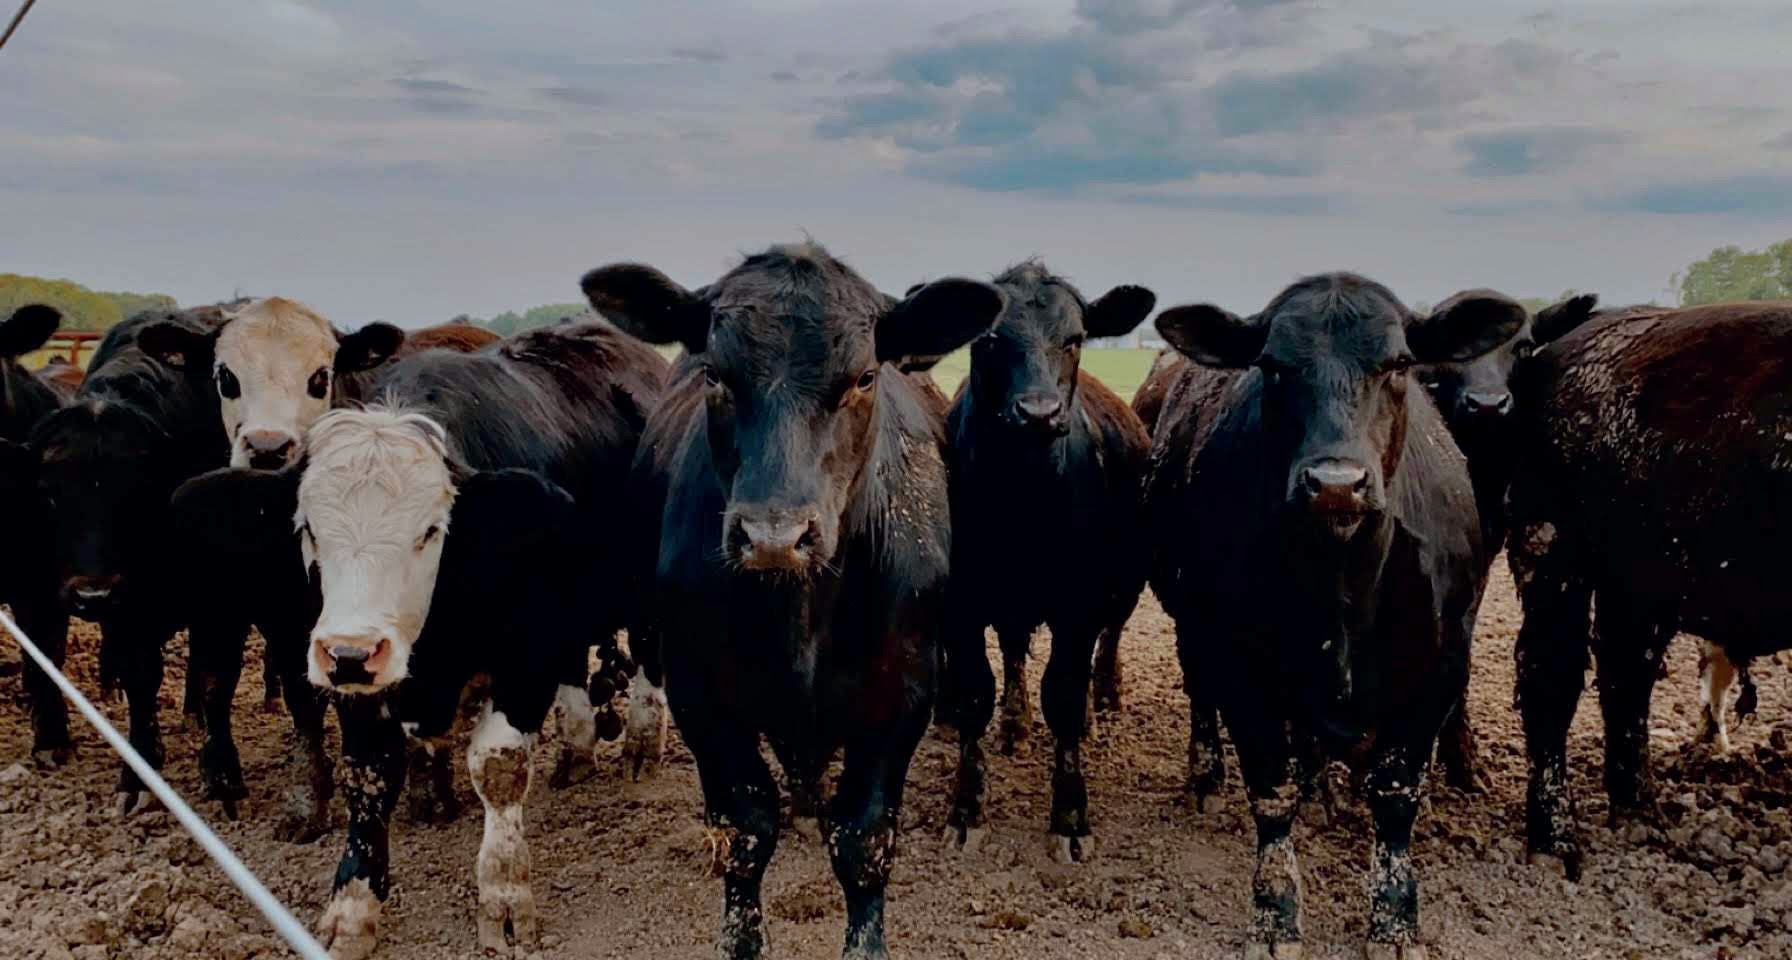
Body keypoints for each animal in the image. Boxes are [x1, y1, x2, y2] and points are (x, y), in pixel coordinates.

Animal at [173, 321, 666, 957]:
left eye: (431, 530)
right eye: (308, 528)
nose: (350, 652)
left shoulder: (525, 652)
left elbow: (499, 767)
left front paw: (504, 897)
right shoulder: (361, 684)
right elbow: (369, 774)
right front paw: (353, 906)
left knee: (650, 658)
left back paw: (641, 745)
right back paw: (577, 750)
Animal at [581, 242, 1002, 960]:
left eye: (864, 377)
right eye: (716, 376)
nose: (773, 535)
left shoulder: (903, 694)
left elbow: (863, 840)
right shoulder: (700, 695)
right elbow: (746, 831)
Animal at [939, 261, 1154, 863]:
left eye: (1075, 338)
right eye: (988, 339)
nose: (1038, 412)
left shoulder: (1078, 607)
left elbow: (1064, 695)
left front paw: (1070, 817)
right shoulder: (961, 605)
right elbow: (975, 693)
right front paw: (966, 809)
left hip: (1124, 586)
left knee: (1106, 643)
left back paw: (1099, 705)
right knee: (1014, 655)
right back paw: (1014, 724)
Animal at [1145, 273, 1523, 958]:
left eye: (1399, 363)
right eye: (1271, 367)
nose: (1336, 483)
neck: (1342, 579)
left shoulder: (1437, 668)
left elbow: (1396, 796)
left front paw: (1395, 920)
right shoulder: (1238, 664)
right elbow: (1271, 793)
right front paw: (1275, 915)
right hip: (1191, 627)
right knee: (1201, 697)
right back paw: (1208, 777)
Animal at [1506, 300, 1792, 881]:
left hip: (1639, 584)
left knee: (1625, 678)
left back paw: (1638, 812)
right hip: (1556, 555)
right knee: (1552, 675)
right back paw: (1555, 839)